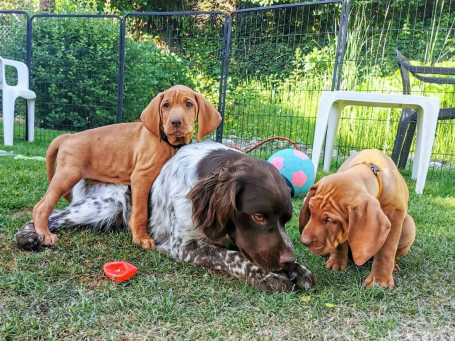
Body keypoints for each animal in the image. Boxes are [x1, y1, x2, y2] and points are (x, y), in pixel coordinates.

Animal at [17, 141, 318, 292]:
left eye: (286, 220)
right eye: (258, 217)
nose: (286, 260)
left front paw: (299, 269)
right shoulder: (183, 246)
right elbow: (233, 258)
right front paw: (267, 277)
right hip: (105, 204)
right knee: (46, 213)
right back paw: (30, 236)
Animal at [32, 85, 221, 247]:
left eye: (189, 104)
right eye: (166, 105)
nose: (175, 122)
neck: (168, 143)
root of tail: (68, 136)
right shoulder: (141, 177)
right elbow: (140, 212)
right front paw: (141, 237)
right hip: (67, 175)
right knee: (41, 206)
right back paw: (44, 233)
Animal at [300, 149, 416, 286]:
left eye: (330, 220)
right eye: (310, 211)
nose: (304, 241)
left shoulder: (394, 217)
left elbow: (386, 251)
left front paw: (380, 279)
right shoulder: (342, 230)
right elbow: (340, 244)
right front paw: (336, 262)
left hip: (409, 225)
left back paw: (394, 265)